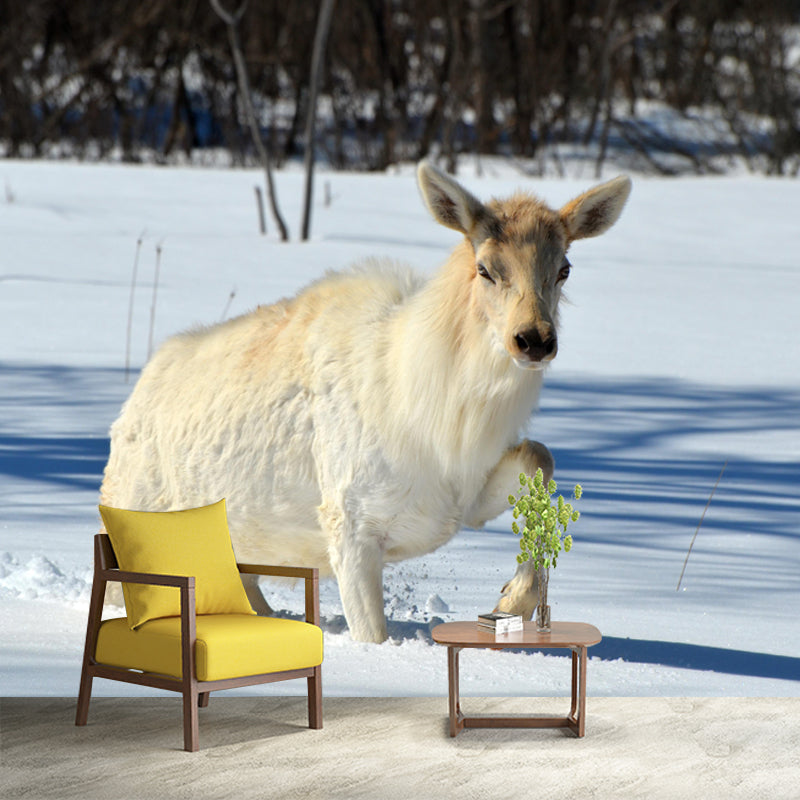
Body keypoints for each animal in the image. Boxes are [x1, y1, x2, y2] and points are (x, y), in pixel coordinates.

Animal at [100, 162, 631, 643]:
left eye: (563, 268)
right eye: (485, 268)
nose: (534, 339)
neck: (444, 420)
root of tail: (132, 404)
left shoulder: (462, 504)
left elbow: (540, 456)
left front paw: (510, 599)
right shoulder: (349, 522)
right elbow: (372, 636)